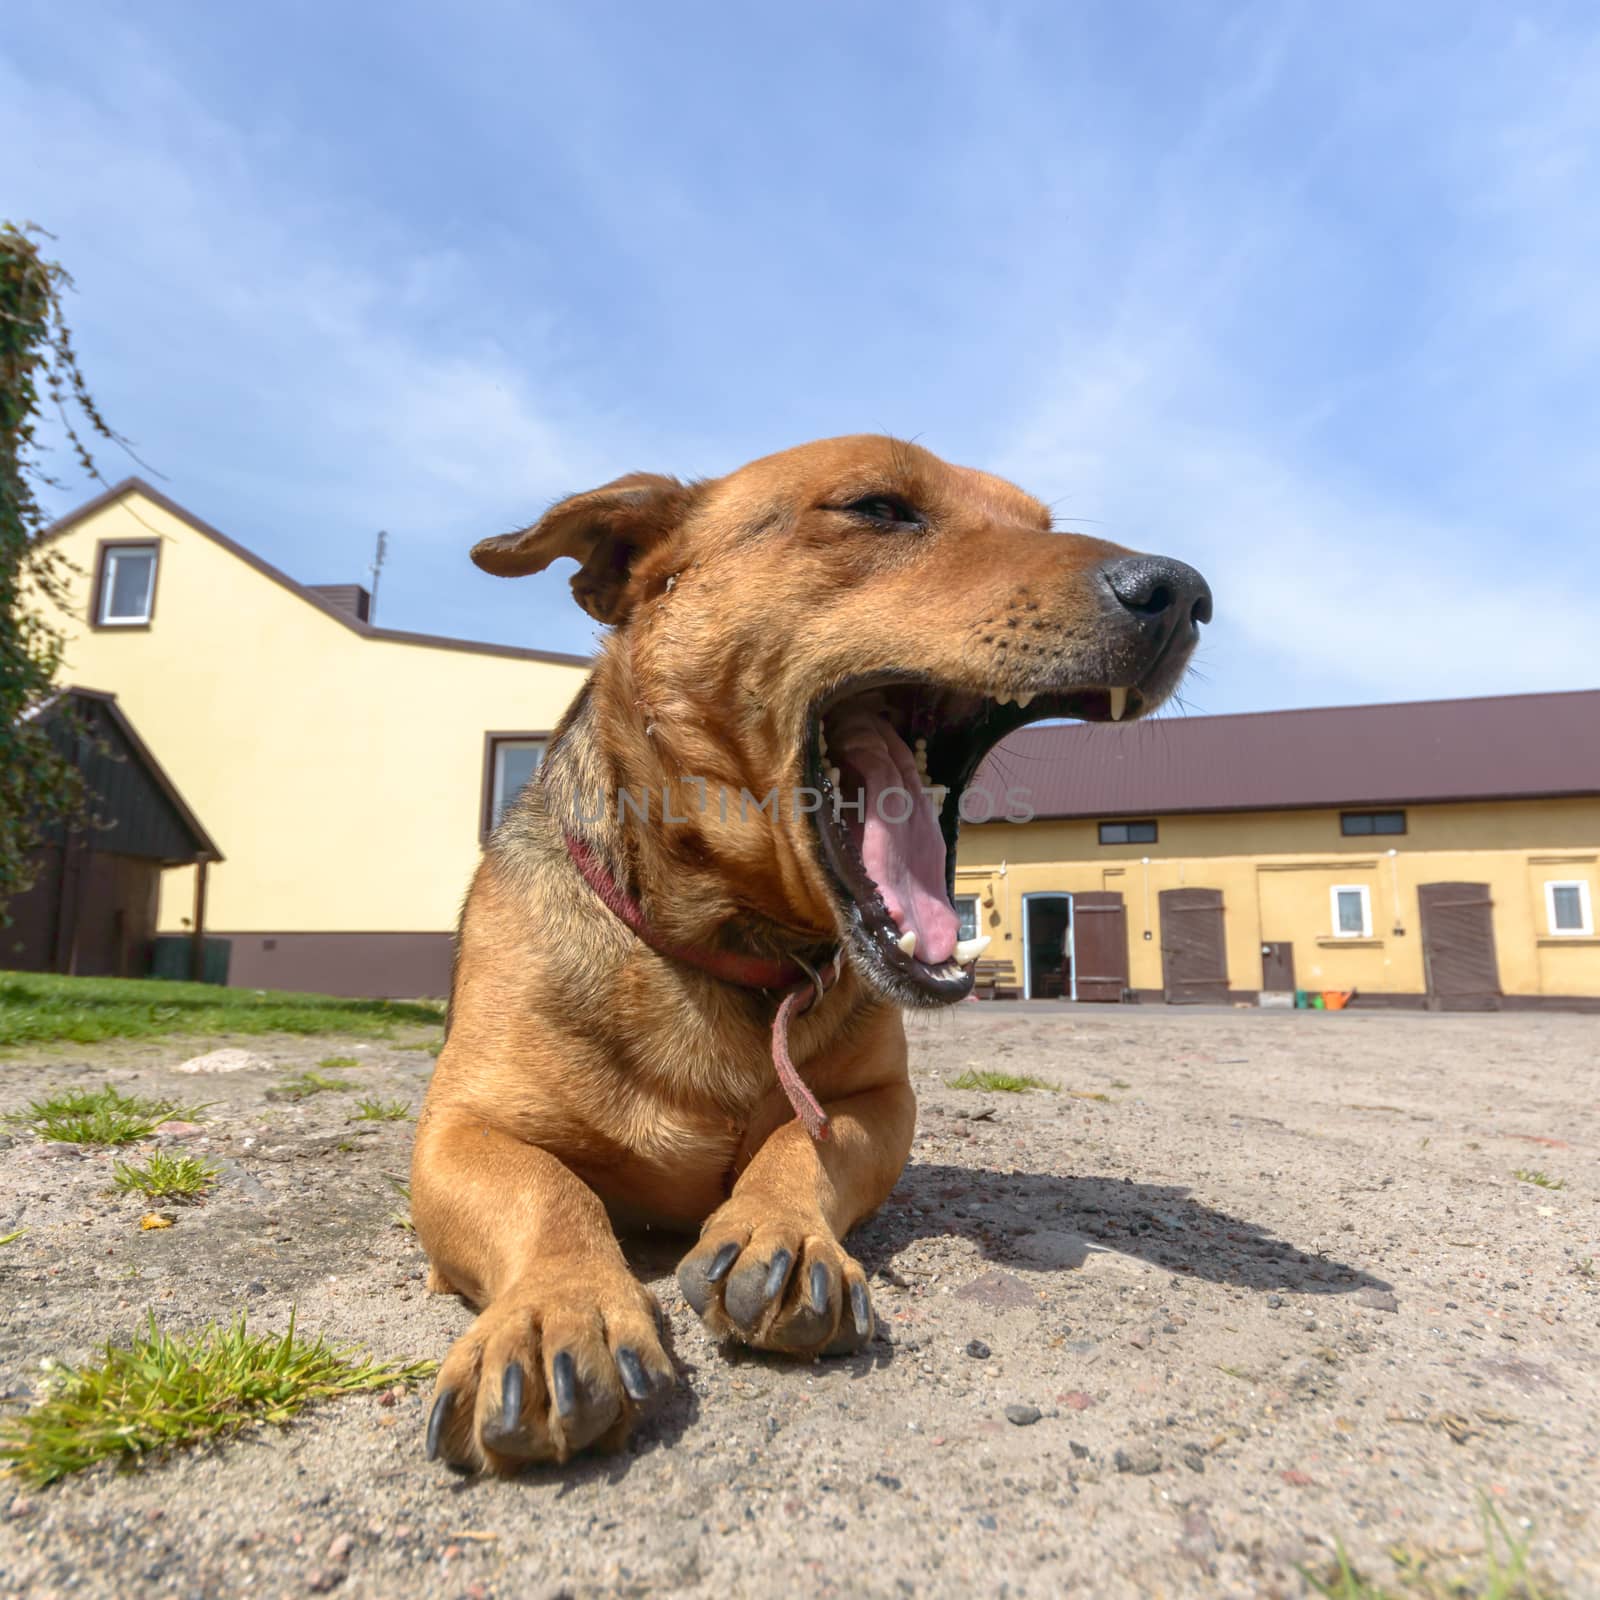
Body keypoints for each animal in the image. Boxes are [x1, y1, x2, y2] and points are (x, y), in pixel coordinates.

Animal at [406, 432, 1203, 1465]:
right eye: (877, 507)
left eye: (1040, 525)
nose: (1181, 591)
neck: (733, 948)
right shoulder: (458, 1130)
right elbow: (545, 1189)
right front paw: (557, 1308)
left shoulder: (882, 1101)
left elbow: (806, 1138)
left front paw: (778, 1226)